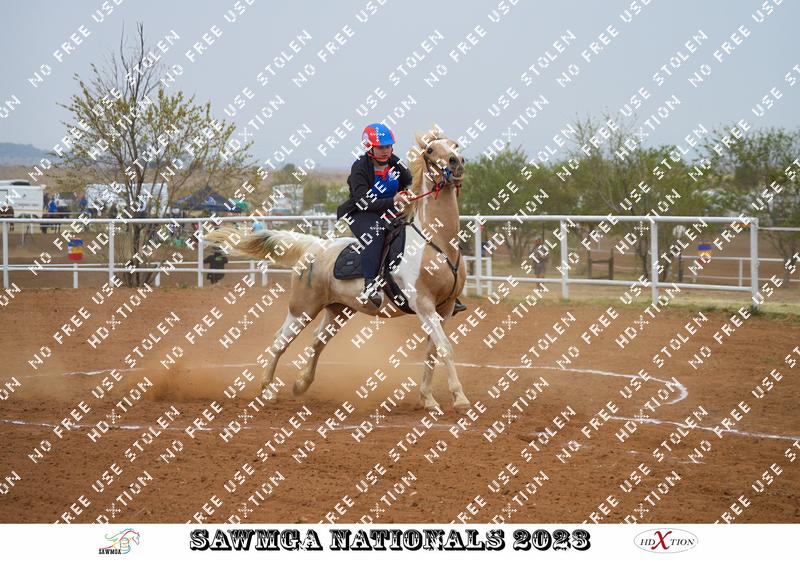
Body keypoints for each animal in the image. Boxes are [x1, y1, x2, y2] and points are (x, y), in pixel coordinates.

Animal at [205, 125, 470, 412]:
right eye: (431, 150)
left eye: (455, 144)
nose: (456, 162)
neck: (437, 242)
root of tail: (316, 246)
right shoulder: (424, 306)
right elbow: (446, 348)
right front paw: (460, 398)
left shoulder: (444, 308)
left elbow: (434, 351)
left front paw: (428, 398)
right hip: (302, 308)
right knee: (281, 340)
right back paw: (268, 390)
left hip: (338, 310)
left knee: (317, 341)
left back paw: (301, 385)